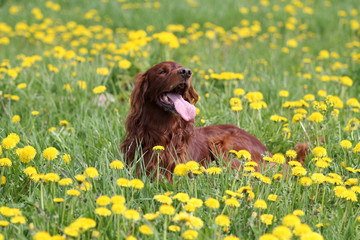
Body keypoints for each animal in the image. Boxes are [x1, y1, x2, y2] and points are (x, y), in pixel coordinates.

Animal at [121, 62, 306, 182]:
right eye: (162, 71)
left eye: (181, 66)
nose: (186, 72)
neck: (162, 132)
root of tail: (268, 152)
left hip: (223, 148)